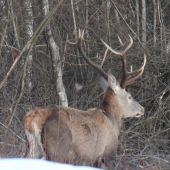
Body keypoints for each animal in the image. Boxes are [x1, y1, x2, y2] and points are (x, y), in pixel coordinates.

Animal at [23, 29, 146, 169]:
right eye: (129, 96)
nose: (142, 109)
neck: (112, 120)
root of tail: (34, 117)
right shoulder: (107, 152)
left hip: (33, 146)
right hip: (57, 145)